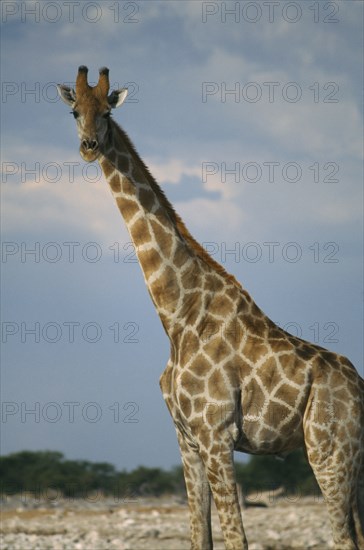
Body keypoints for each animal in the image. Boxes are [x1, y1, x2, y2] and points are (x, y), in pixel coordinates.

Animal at [58, 67, 362, 548]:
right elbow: (199, 535)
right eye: (75, 112)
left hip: (328, 448)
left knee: (343, 538)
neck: (177, 316)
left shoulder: (216, 433)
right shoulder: (186, 439)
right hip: (353, 461)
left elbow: (236, 538)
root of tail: (361, 389)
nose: (89, 147)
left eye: (107, 112)